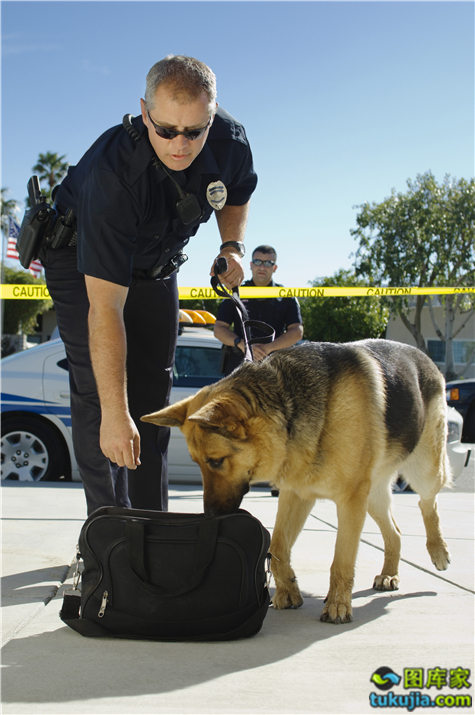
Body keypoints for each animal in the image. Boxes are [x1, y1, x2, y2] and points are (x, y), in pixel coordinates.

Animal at [141, 338, 450, 624]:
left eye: (216, 461)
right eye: (197, 463)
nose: (210, 515)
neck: (289, 408)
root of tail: (425, 356)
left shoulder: (350, 502)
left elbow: (341, 560)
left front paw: (338, 606)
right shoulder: (297, 494)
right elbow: (278, 546)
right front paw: (288, 591)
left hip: (421, 470)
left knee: (429, 503)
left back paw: (438, 550)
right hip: (372, 496)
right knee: (395, 532)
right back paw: (389, 574)